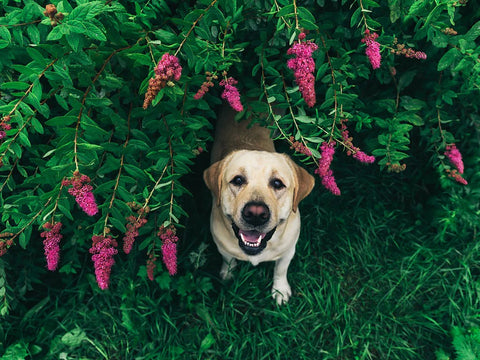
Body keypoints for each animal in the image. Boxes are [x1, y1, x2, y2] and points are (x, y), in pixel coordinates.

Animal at [202, 104, 316, 304]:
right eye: (238, 180)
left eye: (278, 183)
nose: (255, 214)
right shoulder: (222, 247)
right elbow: (228, 260)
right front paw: (228, 273)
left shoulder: (288, 251)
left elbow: (280, 270)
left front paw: (280, 290)